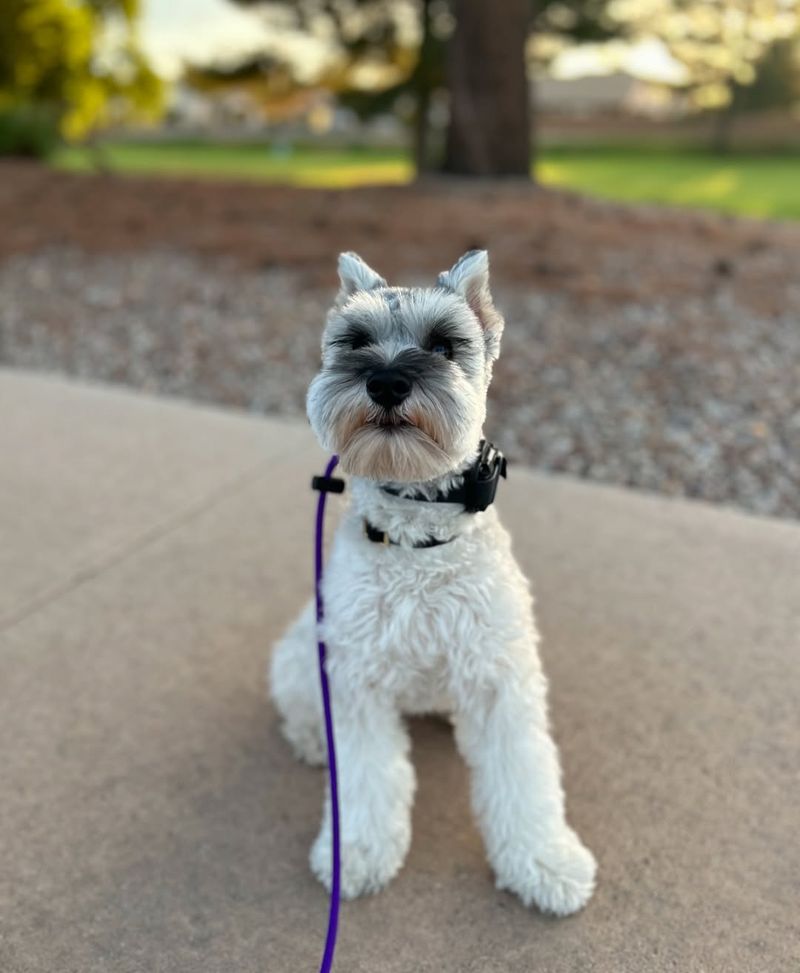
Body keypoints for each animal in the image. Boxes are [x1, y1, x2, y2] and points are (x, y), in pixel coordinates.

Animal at [272, 247, 596, 916]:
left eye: (446, 345)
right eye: (355, 341)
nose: (387, 382)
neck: (416, 540)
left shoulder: (501, 681)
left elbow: (524, 778)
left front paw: (545, 862)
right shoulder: (359, 685)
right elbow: (366, 779)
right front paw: (357, 852)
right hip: (301, 651)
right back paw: (313, 740)